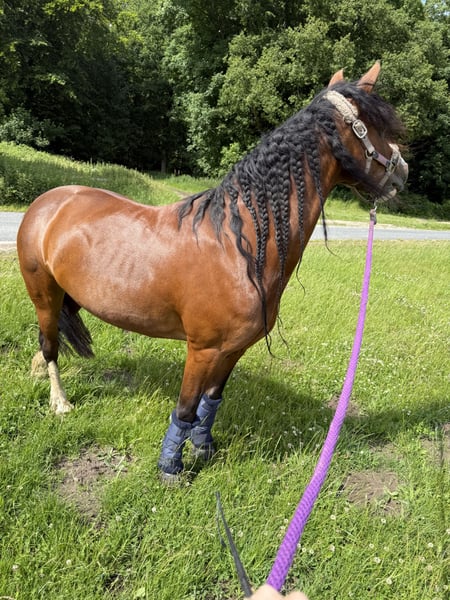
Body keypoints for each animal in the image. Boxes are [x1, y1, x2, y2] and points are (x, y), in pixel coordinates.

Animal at [17, 62, 408, 482]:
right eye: (374, 126)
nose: (402, 173)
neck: (238, 248)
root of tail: (48, 200)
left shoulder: (233, 349)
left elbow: (211, 402)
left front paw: (204, 451)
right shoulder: (201, 350)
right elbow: (186, 407)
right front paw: (171, 468)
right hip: (44, 292)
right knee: (50, 342)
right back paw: (60, 402)